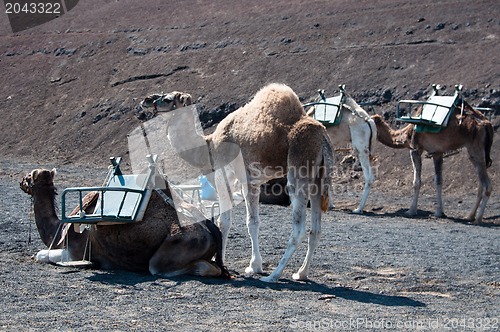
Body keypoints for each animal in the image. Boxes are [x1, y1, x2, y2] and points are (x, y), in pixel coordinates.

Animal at [19, 165, 230, 278]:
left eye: (29, 176)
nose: (21, 182)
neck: (60, 228)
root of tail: (208, 227)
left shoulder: (74, 251)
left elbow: (40, 255)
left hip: (171, 252)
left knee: (162, 268)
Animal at [142, 83, 336, 282]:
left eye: (167, 99)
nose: (146, 100)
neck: (209, 147)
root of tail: (323, 140)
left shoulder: (225, 175)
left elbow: (227, 222)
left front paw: (233, 264)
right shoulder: (250, 181)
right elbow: (252, 222)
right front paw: (254, 265)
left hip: (299, 168)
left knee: (299, 228)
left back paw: (273, 275)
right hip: (318, 180)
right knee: (316, 229)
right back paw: (301, 273)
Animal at [372, 87, 492, 224]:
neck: (405, 135)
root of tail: (486, 124)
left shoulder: (415, 149)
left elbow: (416, 181)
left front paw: (411, 210)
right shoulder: (437, 152)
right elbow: (438, 180)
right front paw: (439, 212)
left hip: (475, 148)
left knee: (487, 185)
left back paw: (478, 219)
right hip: (477, 151)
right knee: (481, 183)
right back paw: (470, 216)